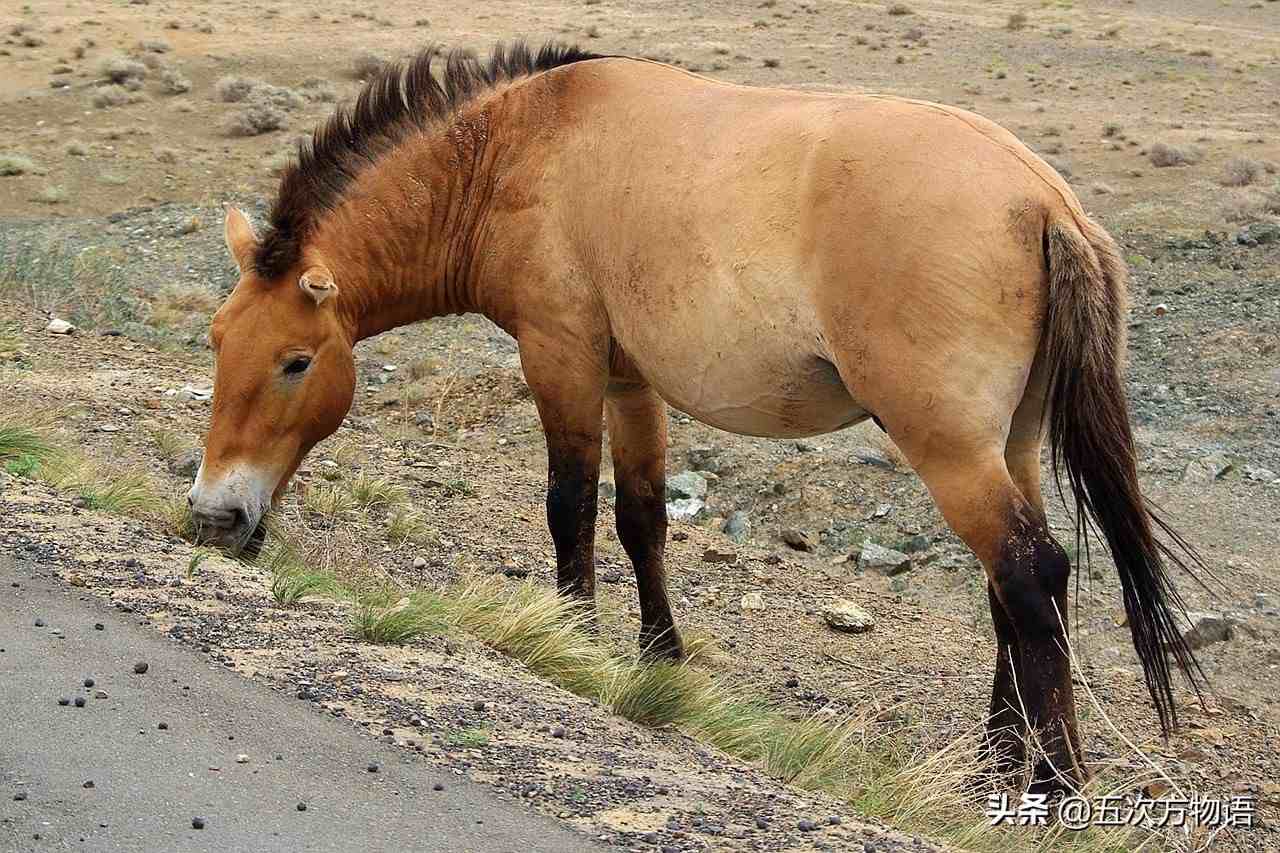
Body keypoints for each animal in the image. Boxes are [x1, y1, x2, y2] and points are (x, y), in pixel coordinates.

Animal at [185, 43, 1203, 794]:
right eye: (217, 339)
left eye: (295, 361)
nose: (213, 517)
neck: (517, 150)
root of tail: (1042, 197)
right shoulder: (629, 382)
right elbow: (641, 518)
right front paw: (659, 660)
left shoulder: (561, 358)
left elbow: (569, 505)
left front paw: (570, 640)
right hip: (1010, 444)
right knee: (1018, 589)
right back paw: (996, 759)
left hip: (950, 448)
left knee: (1030, 573)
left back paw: (1052, 783)